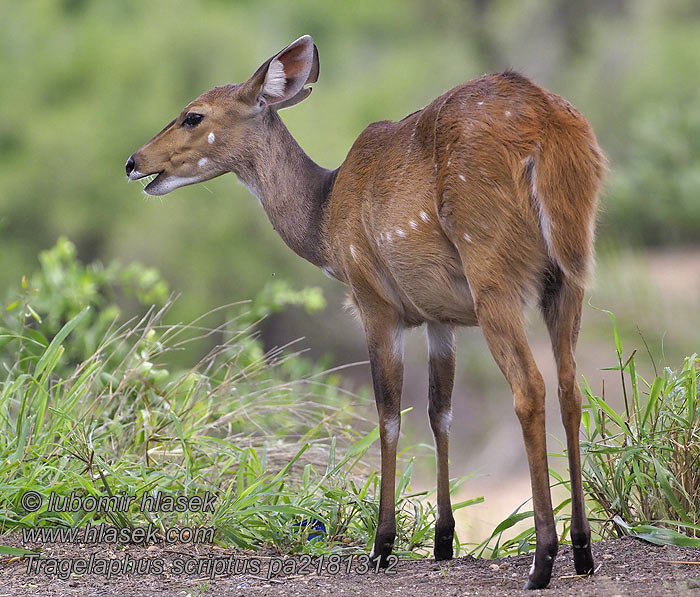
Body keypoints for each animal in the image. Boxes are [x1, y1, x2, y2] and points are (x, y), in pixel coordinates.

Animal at [127, 36, 608, 588]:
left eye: (193, 115)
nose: (134, 162)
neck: (325, 213)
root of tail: (549, 124)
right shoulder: (440, 318)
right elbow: (439, 411)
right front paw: (443, 541)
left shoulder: (375, 303)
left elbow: (388, 414)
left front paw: (381, 545)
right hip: (567, 277)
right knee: (571, 387)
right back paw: (582, 551)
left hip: (494, 279)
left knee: (530, 388)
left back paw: (541, 561)